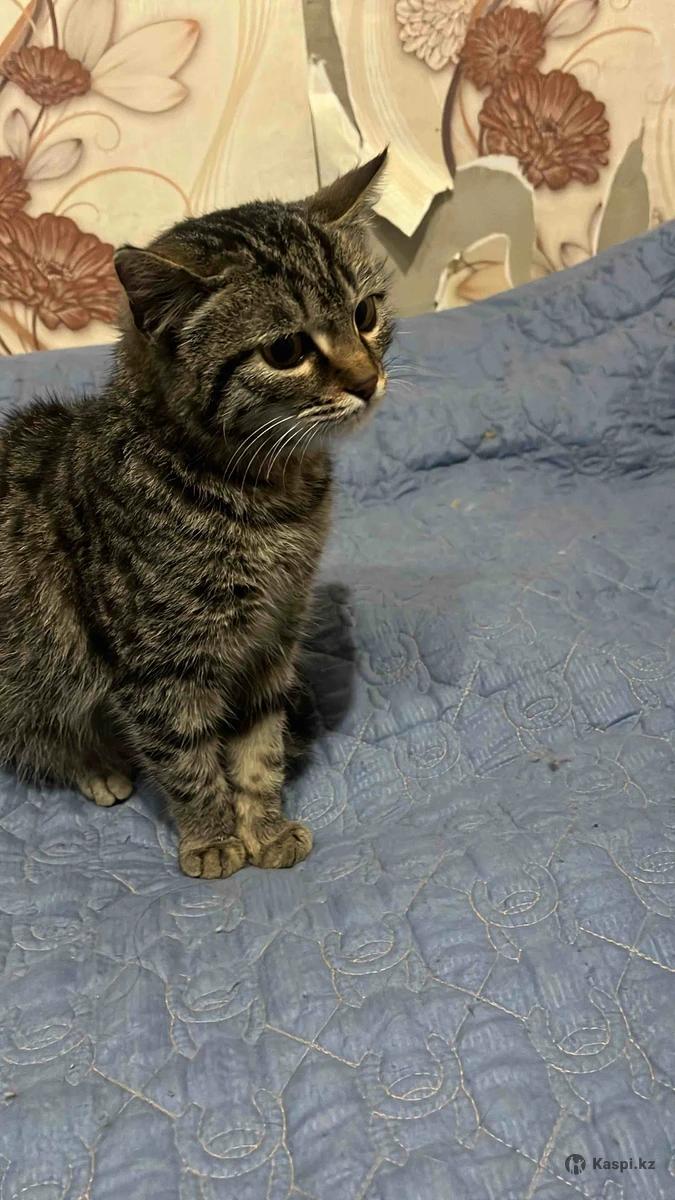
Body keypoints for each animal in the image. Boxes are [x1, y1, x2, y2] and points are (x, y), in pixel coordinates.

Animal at [0, 150, 392, 877]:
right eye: (286, 351)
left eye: (366, 313)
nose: (366, 380)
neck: (269, 497)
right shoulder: (157, 664)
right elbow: (185, 756)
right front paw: (211, 836)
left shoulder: (271, 638)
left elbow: (258, 743)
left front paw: (264, 822)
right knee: (34, 733)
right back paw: (96, 764)